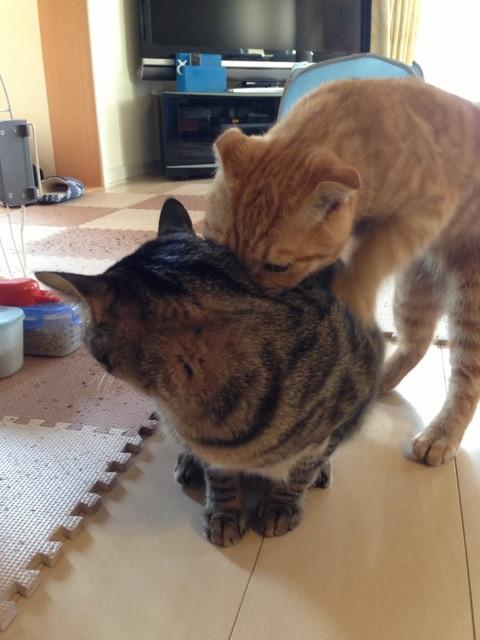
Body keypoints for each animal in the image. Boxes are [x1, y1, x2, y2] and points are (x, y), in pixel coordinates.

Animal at [37, 198, 383, 547]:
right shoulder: (213, 455)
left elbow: (302, 469)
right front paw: (225, 514)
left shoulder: (348, 408)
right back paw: (189, 462)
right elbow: (221, 479)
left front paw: (281, 504)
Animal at [204, 76, 480, 467]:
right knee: (418, 342)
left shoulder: (424, 212)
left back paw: (441, 435)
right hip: (413, 292)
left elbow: (369, 259)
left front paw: (351, 298)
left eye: (276, 267)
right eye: (220, 249)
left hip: (470, 308)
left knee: (466, 379)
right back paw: (382, 380)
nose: (239, 293)